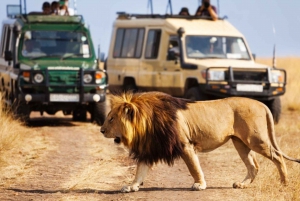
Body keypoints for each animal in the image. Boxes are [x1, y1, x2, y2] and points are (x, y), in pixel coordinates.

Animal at [100, 91, 298, 193]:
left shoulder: (185, 145)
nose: (101, 130)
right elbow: (140, 171)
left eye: (111, 119)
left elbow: (193, 167)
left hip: (256, 139)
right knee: (253, 166)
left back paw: (284, 183)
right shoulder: (150, 149)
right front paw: (131, 186)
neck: (146, 123)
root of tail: (261, 103)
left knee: (278, 156)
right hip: (240, 143)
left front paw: (200, 185)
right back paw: (242, 184)